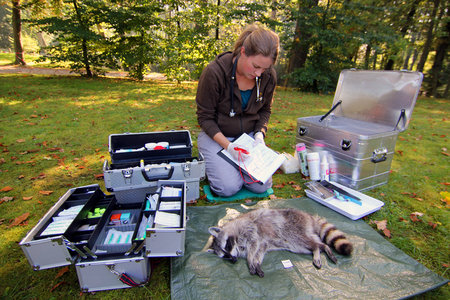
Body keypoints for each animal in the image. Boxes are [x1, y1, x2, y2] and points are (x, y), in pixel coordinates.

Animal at [207, 207, 352, 278]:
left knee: (305, 241)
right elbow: (260, 251)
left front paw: (250, 260)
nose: (233, 260)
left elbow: (254, 246)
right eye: (224, 256)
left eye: (227, 245)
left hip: (294, 229)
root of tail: (309, 217)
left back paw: (324, 247)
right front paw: (256, 262)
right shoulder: (264, 243)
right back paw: (318, 249)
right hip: (294, 243)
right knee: (310, 245)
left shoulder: (250, 230)